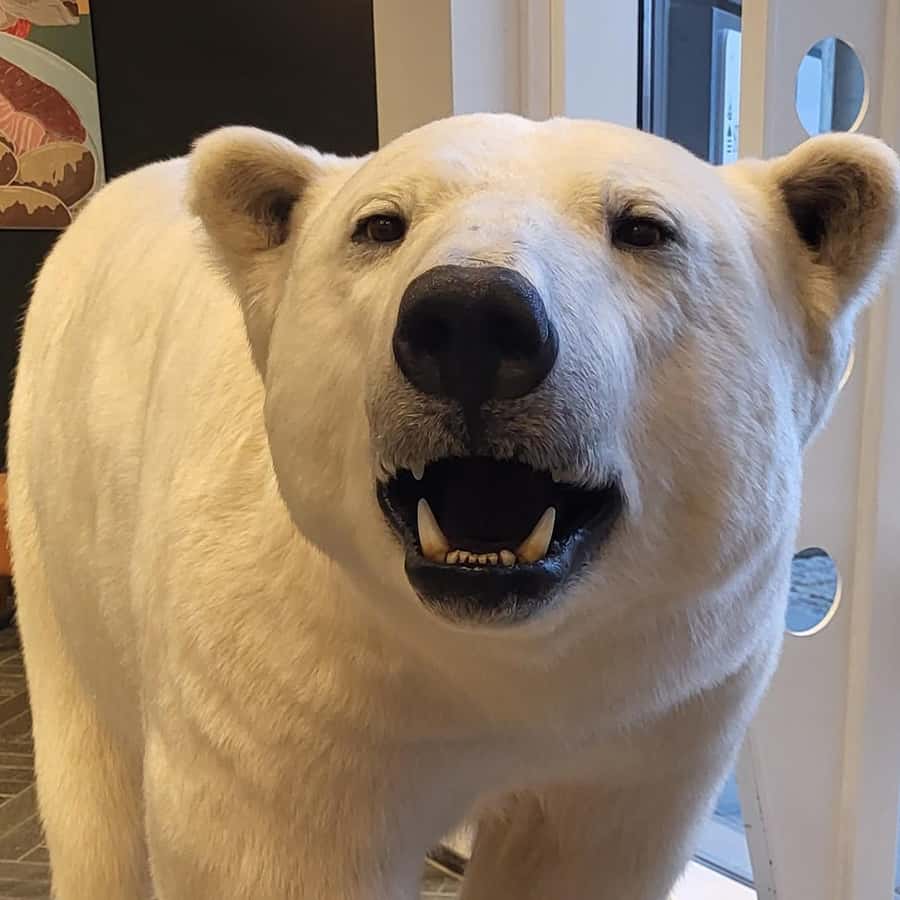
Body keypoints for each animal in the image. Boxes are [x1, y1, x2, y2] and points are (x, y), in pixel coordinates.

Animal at [6, 113, 899, 900]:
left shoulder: (652, 714)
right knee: (94, 800)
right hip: (50, 525)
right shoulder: (283, 694)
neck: (481, 660)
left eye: (645, 228)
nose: (472, 317)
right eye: (380, 224)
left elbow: (575, 854)